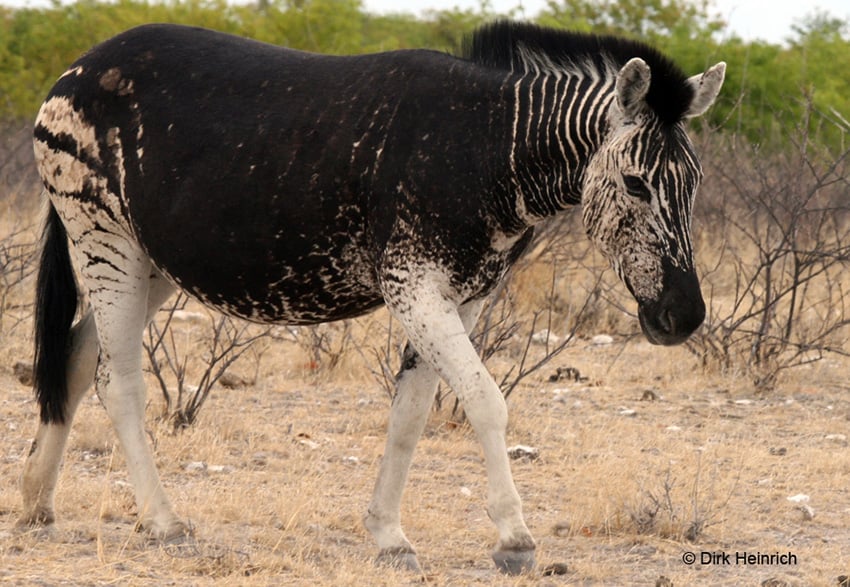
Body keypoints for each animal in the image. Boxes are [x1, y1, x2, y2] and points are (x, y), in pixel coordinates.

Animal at [19, 21, 724, 576]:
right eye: (635, 184)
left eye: (695, 184)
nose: (684, 316)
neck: (488, 148)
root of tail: (81, 64)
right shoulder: (412, 281)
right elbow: (485, 401)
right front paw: (515, 540)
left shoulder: (461, 294)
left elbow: (412, 412)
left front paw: (389, 536)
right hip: (101, 233)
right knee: (117, 380)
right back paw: (164, 524)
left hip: (152, 258)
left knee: (76, 357)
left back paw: (34, 502)